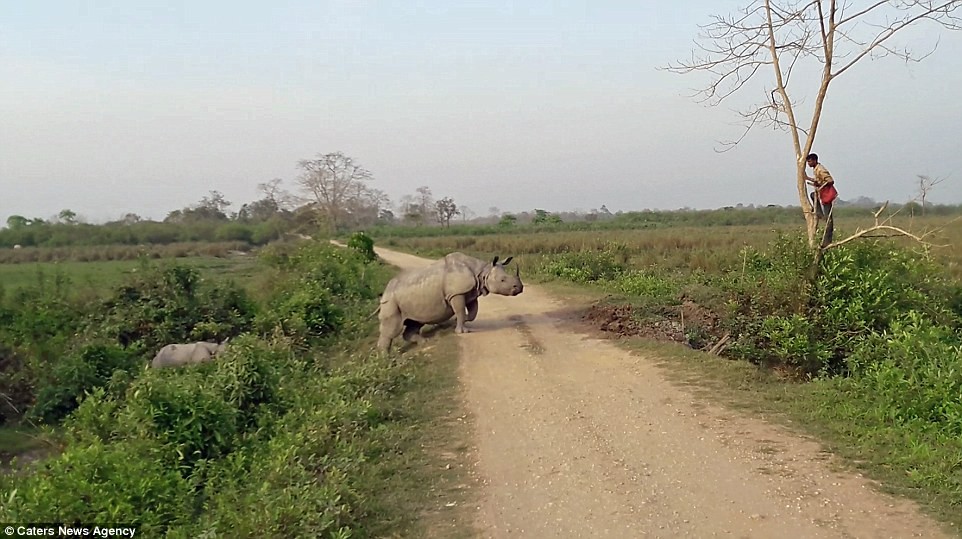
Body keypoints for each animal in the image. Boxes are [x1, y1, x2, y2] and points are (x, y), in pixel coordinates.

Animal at [376, 254, 524, 354]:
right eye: (503, 280)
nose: (520, 288)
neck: (482, 272)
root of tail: (385, 291)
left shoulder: (470, 292)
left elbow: (472, 312)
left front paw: (454, 322)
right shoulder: (457, 293)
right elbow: (460, 310)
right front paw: (462, 332)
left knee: (415, 322)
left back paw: (424, 342)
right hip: (390, 300)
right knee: (393, 327)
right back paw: (385, 358)